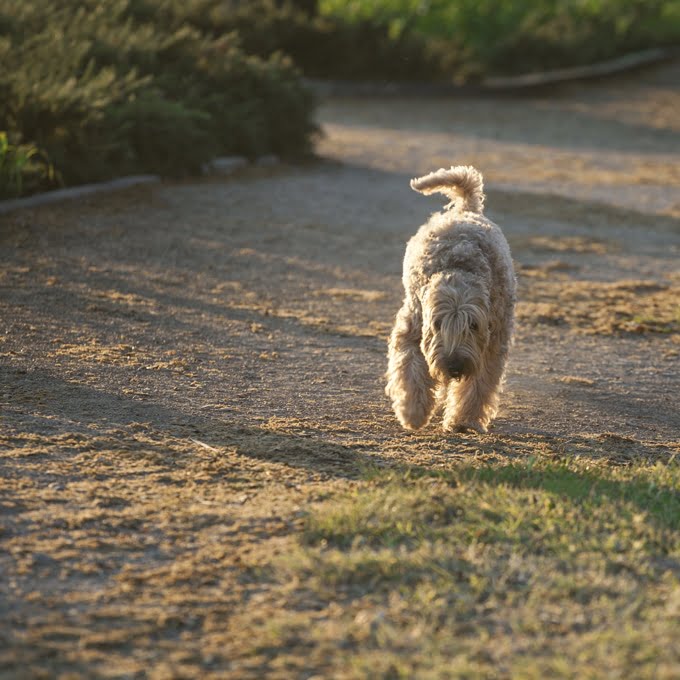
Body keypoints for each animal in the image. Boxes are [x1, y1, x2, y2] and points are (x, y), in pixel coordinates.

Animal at [388, 167, 516, 432]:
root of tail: (465, 209)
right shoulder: (412, 328)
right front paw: (414, 412)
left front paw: (464, 420)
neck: (460, 266)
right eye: (437, 324)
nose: (454, 366)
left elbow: (478, 385)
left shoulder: (493, 341)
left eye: (473, 325)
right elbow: (411, 370)